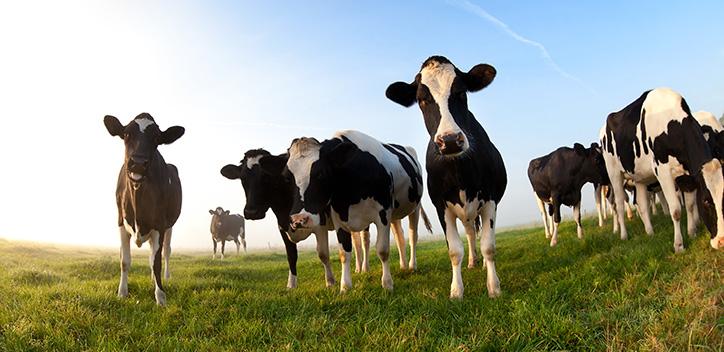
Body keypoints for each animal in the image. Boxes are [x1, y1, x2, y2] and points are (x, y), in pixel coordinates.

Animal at [103, 113, 185, 306]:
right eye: (126, 134)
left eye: (156, 139)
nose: (138, 163)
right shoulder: (121, 222)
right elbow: (124, 260)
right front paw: (122, 292)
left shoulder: (160, 226)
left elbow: (157, 262)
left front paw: (160, 297)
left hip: (170, 226)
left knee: (165, 252)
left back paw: (164, 278)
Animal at [282, 131, 430, 292]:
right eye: (287, 177)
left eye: (320, 173)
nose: (298, 219)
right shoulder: (340, 219)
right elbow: (344, 253)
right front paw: (345, 286)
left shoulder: (383, 214)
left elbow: (382, 250)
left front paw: (387, 284)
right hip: (394, 214)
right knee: (399, 237)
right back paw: (403, 265)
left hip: (414, 207)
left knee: (413, 236)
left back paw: (412, 265)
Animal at [384, 56, 510, 298]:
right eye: (422, 100)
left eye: (461, 92)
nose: (450, 141)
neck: (459, 171)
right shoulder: (441, 206)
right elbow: (454, 250)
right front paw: (457, 290)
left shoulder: (490, 200)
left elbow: (489, 246)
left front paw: (494, 287)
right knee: (469, 233)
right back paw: (471, 262)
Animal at [600, 88, 724, 253]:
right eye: (706, 201)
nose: (722, 241)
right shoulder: (662, 171)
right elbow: (676, 210)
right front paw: (679, 245)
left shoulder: (687, 176)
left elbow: (690, 205)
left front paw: (692, 233)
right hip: (614, 173)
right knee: (619, 204)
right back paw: (624, 235)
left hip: (640, 176)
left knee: (642, 204)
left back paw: (650, 232)